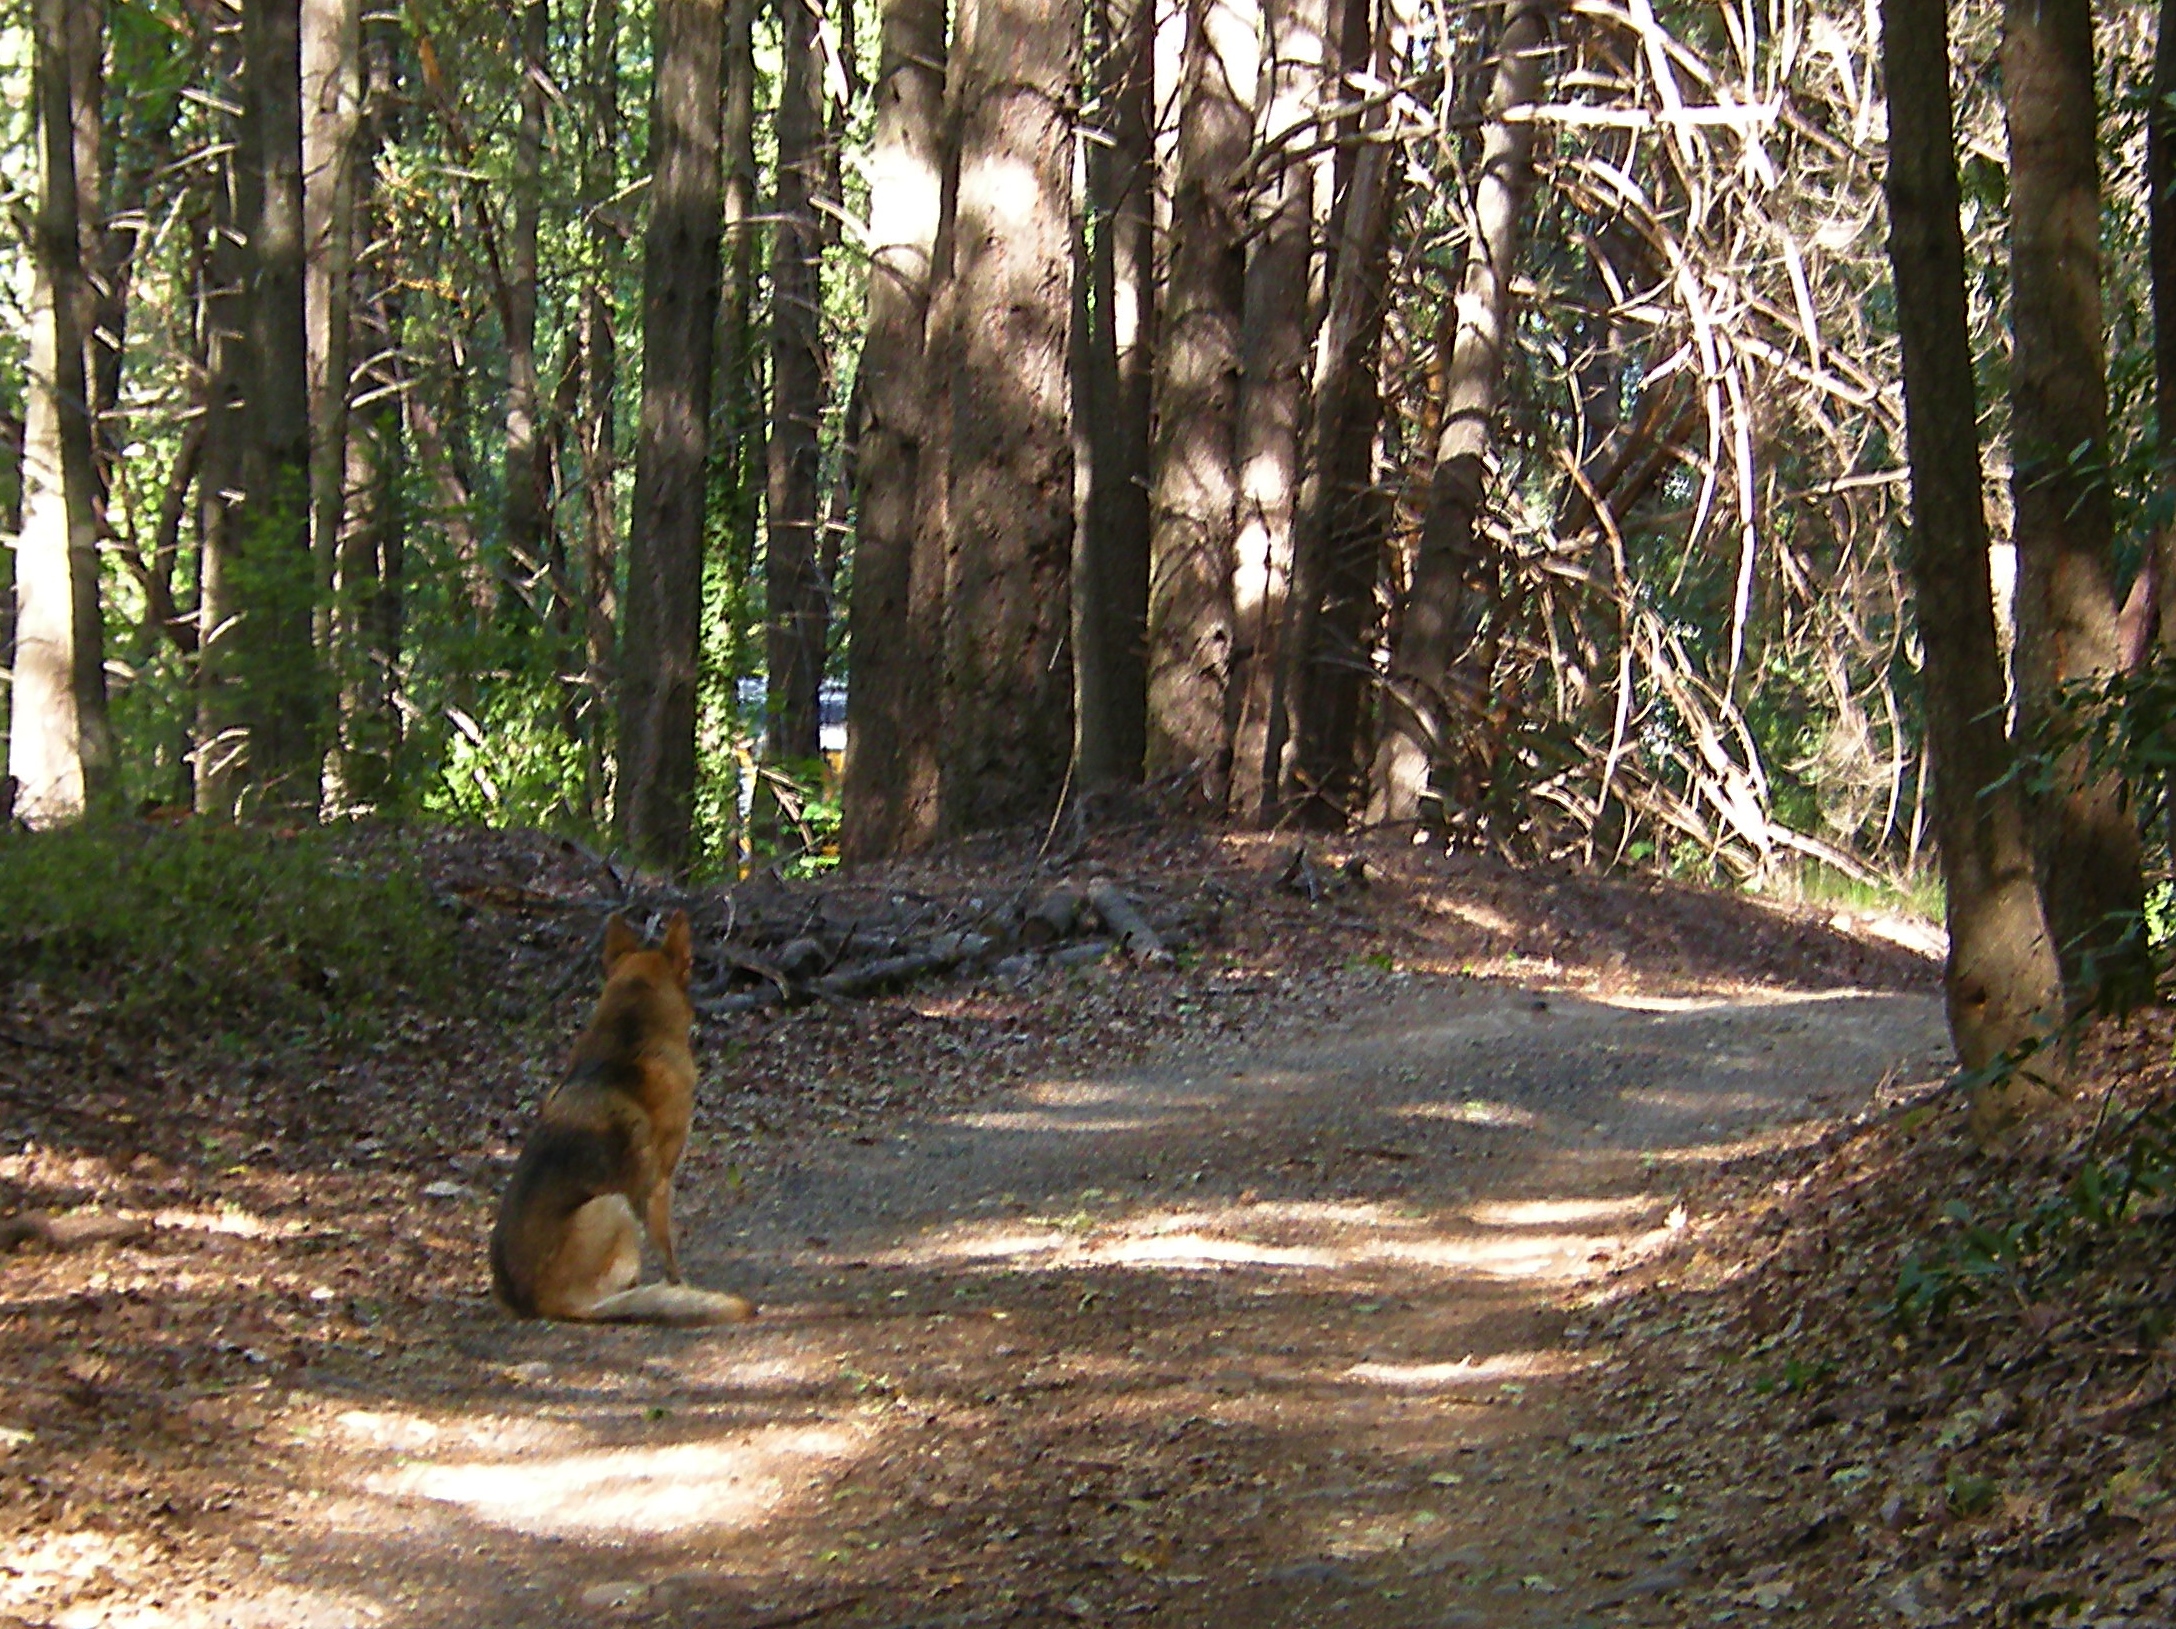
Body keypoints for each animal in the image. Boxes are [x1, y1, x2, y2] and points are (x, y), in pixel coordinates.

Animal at [490, 911, 756, 1325]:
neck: (628, 1033)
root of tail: (542, 1303)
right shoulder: (659, 1184)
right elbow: (668, 1251)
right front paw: (680, 1286)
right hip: (614, 1204)